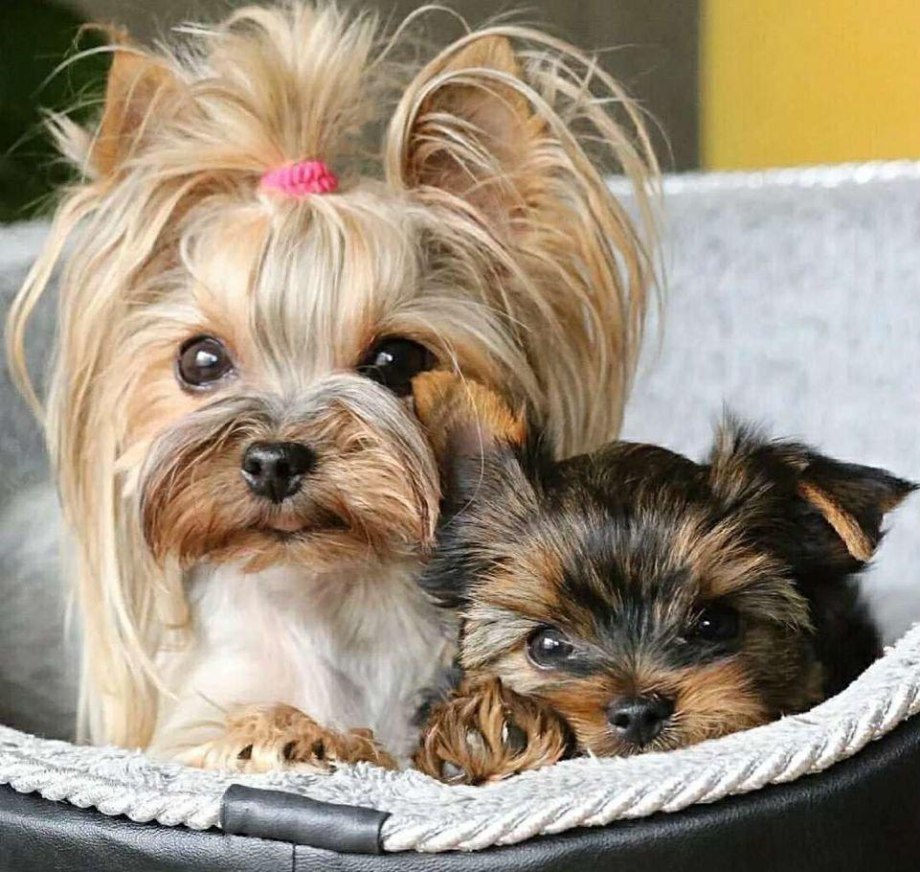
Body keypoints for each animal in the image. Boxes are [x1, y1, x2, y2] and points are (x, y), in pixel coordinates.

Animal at [5, 2, 657, 767]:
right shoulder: (188, 716)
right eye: (201, 361)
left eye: (397, 361)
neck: (324, 597)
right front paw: (281, 733)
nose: (272, 460)